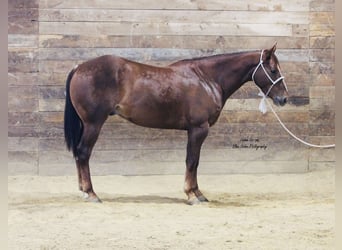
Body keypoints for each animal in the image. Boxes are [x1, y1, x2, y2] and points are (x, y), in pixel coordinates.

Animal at [64, 44, 288, 205]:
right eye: (273, 70)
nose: (284, 99)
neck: (207, 79)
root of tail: (79, 67)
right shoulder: (198, 129)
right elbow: (192, 161)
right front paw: (192, 195)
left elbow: (194, 161)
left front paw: (198, 193)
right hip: (93, 124)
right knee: (83, 152)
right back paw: (91, 194)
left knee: (78, 154)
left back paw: (83, 191)